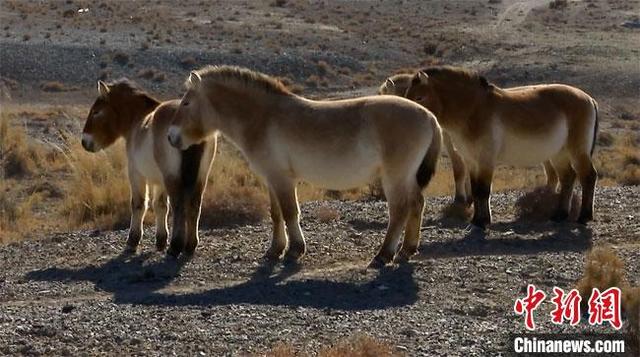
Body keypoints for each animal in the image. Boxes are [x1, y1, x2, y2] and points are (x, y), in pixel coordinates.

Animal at [81, 78, 216, 256]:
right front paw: (160, 241)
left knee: (179, 206)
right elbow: (160, 206)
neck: (137, 119)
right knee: (194, 205)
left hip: (173, 177)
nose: (84, 141)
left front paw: (133, 241)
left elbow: (138, 204)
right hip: (200, 177)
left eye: (96, 112)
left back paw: (176, 246)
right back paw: (190, 246)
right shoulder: (160, 181)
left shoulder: (136, 173)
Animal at [168, 64, 442, 268]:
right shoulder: (272, 179)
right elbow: (276, 213)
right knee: (417, 204)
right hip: (407, 177)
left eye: (186, 103)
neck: (262, 118)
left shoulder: (282, 179)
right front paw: (275, 250)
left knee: (399, 211)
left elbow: (290, 212)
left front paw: (294, 250)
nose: (171, 137)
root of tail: (429, 116)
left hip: (395, 177)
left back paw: (383, 255)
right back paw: (407, 250)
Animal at [404, 65, 600, 229]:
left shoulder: (486, 160)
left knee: (588, 177)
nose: (411, 118)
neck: (473, 110)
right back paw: (560, 215)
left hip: (577, 151)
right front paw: (476, 220)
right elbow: (475, 190)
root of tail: (589, 99)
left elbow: (483, 190)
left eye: (419, 97)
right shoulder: (472, 161)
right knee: (568, 178)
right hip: (559, 154)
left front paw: (482, 222)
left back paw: (584, 217)